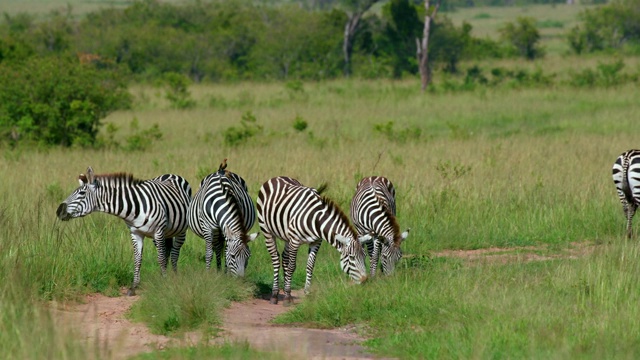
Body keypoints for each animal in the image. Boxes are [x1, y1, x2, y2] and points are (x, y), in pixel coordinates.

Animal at [56, 166, 191, 296]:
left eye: (82, 193)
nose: (58, 211)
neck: (134, 207)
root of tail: (170, 174)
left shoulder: (158, 232)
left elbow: (161, 258)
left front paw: (164, 284)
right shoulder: (136, 233)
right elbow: (137, 259)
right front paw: (134, 287)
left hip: (180, 230)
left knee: (174, 253)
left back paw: (174, 277)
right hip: (164, 234)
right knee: (167, 251)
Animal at [256, 176, 370, 306]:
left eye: (364, 256)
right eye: (351, 257)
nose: (365, 280)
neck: (316, 219)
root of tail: (277, 177)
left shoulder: (316, 242)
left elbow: (310, 266)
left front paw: (306, 293)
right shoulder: (295, 241)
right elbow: (292, 267)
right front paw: (287, 297)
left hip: (286, 236)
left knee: (284, 257)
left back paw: (285, 290)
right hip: (267, 230)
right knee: (275, 259)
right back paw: (275, 295)